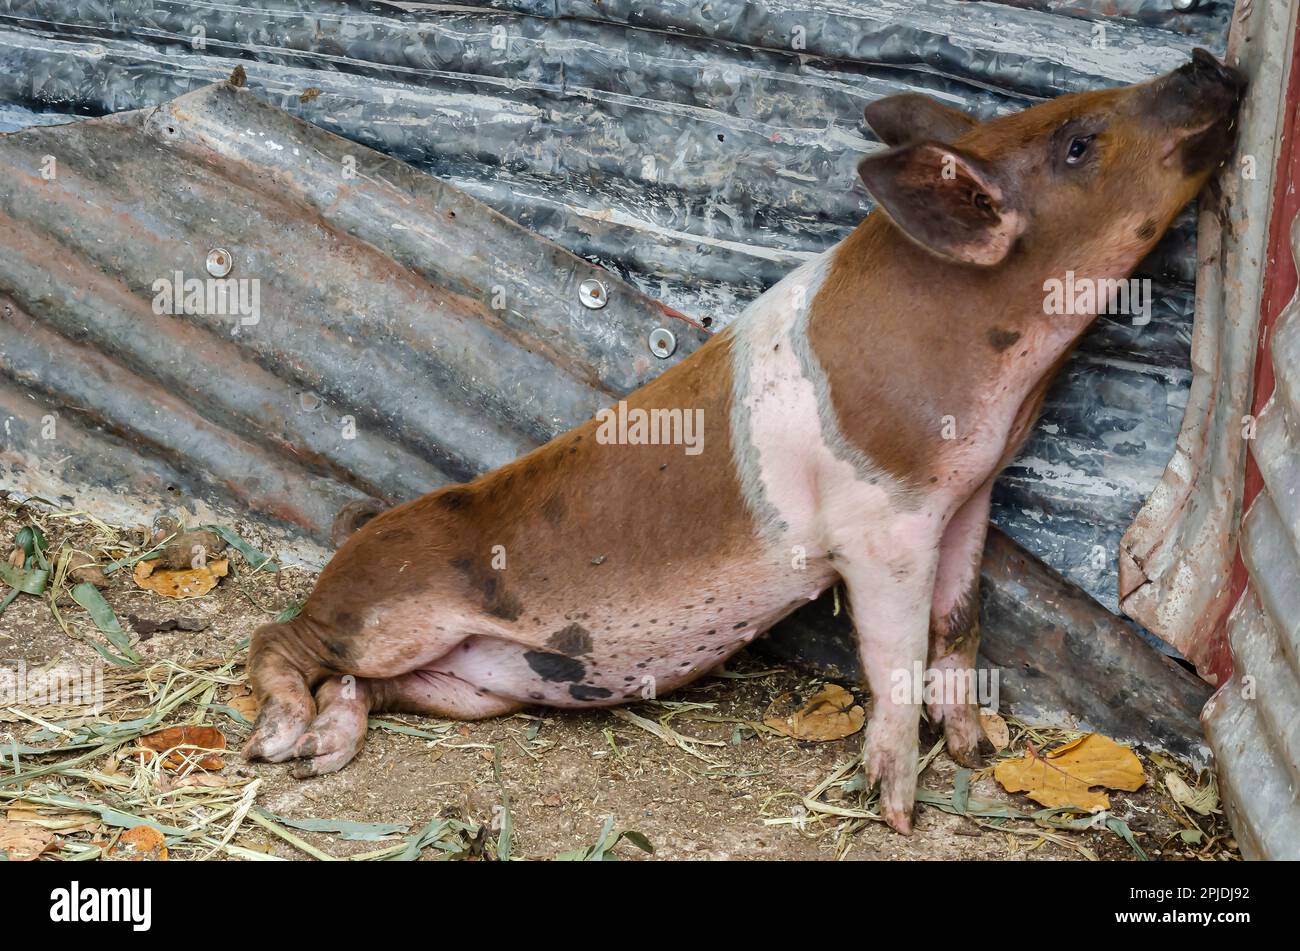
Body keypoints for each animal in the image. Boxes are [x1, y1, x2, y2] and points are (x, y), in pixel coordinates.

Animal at [245, 50, 1248, 831]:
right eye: (1078, 143)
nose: (1205, 59)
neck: (1000, 371)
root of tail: (355, 540)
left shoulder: (969, 495)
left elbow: (960, 626)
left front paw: (971, 751)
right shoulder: (879, 525)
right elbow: (895, 657)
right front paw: (899, 813)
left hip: (468, 685)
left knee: (356, 686)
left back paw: (327, 751)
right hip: (385, 612)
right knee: (282, 637)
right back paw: (278, 745)